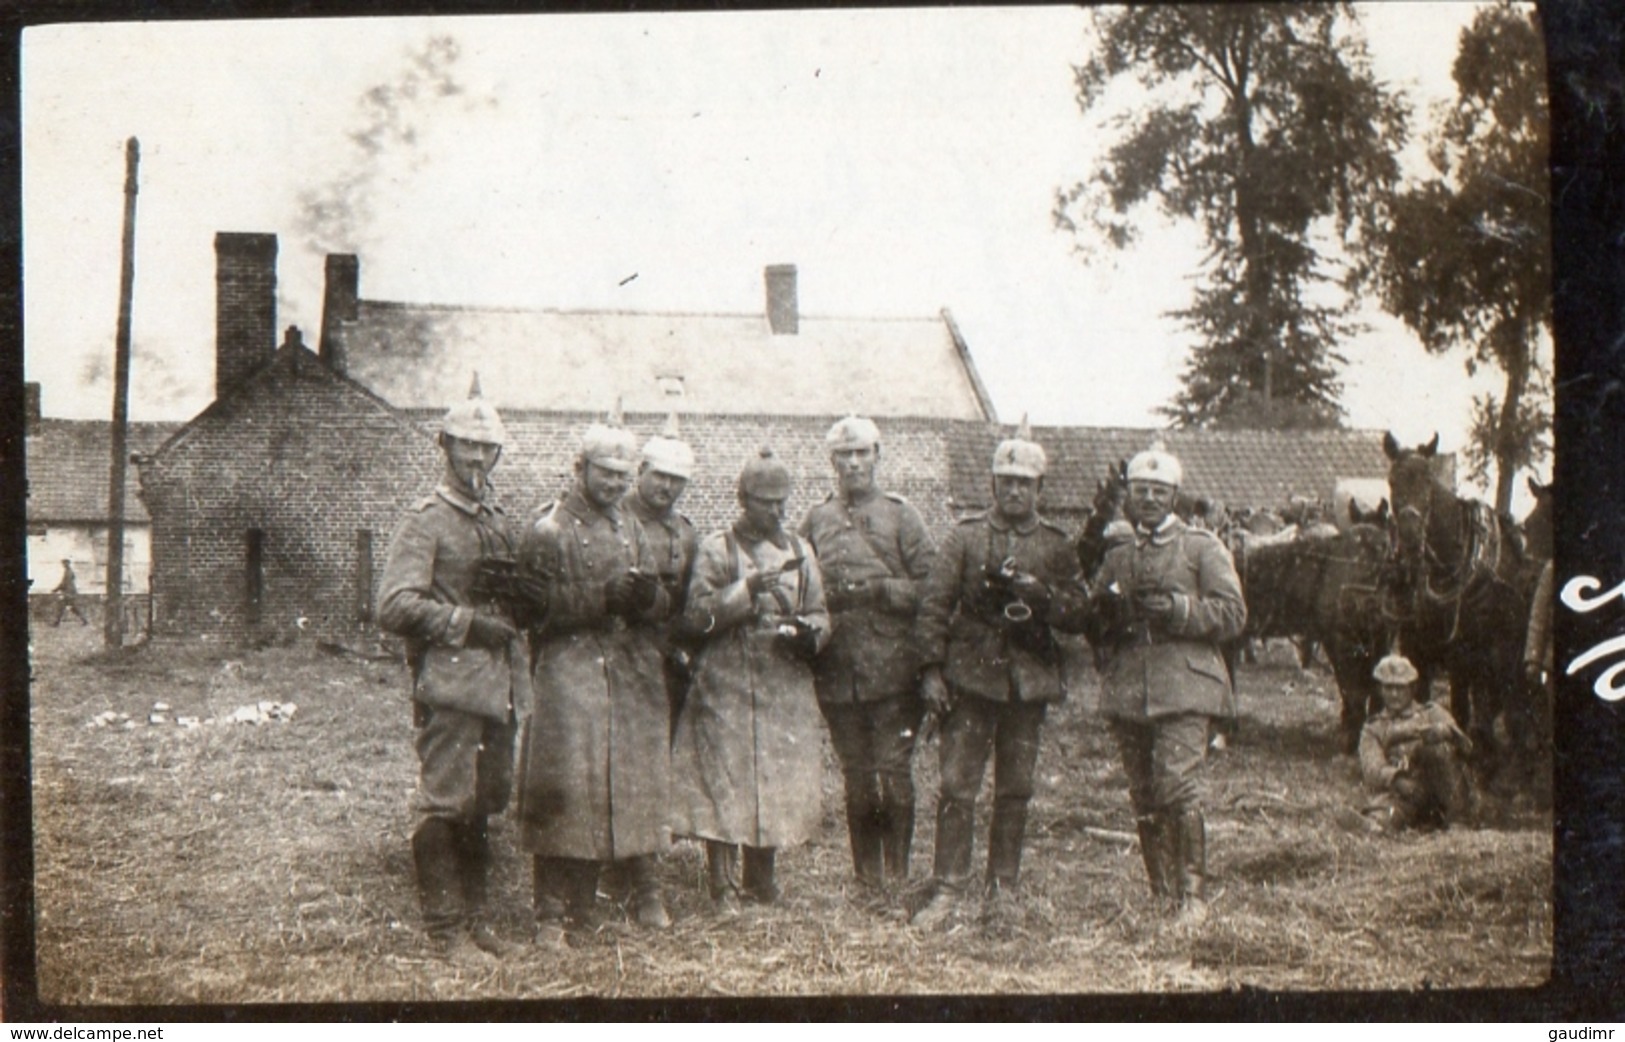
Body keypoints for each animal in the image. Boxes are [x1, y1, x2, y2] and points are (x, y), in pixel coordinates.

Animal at [1384, 429, 1534, 786]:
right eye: (1392, 481)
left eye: (1427, 480)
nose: (1411, 541)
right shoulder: (1416, 649)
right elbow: (1422, 700)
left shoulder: (1465, 657)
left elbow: (1462, 711)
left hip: (1501, 655)